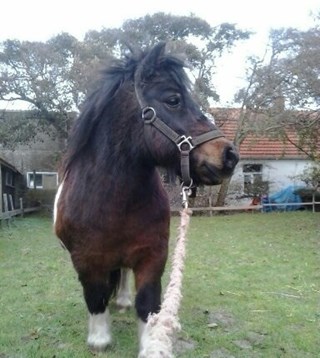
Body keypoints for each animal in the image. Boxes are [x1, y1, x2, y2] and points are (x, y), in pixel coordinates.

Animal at [53, 42, 238, 356]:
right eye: (173, 99)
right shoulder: (85, 260)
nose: (230, 155)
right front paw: (99, 339)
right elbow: (95, 296)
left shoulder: (152, 255)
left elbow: (147, 304)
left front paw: (150, 344)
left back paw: (123, 300)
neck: (113, 202)